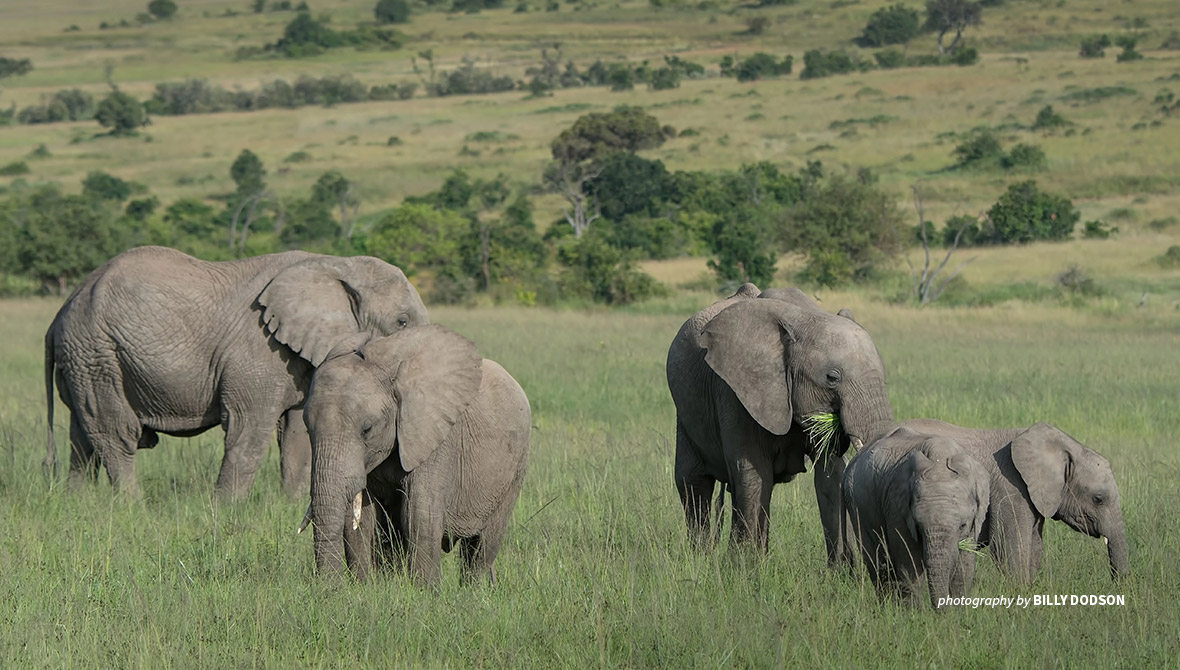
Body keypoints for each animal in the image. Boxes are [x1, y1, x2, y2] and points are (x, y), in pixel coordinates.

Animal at [43, 242, 429, 500]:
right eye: (402, 322)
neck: (337, 265)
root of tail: (60, 313)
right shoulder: (259, 348)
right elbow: (248, 428)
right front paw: (227, 509)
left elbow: (296, 434)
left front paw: (288, 504)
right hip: (97, 351)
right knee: (114, 432)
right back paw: (132, 505)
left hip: (84, 360)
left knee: (82, 436)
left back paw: (76, 502)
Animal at [304, 320, 531, 582]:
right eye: (307, 428)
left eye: (367, 429)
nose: (328, 587)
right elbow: (361, 521)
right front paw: (364, 587)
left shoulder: (435, 437)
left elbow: (418, 515)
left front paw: (424, 591)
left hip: (515, 469)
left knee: (482, 545)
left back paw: (476, 589)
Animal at [665, 283, 892, 559]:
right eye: (832, 378)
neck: (804, 318)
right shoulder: (734, 392)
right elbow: (752, 473)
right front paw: (744, 566)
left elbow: (830, 474)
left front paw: (841, 568)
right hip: (686, 413)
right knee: (694, 483)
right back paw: (702, 558)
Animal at [844, 427, 991, 608]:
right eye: (918, 527)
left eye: (962, 525)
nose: (943, 612)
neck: (939, 459)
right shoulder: (896, 505)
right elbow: (909, 563)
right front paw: (914, 613)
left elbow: (964, 568)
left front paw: (959, 612)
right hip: (856, 504)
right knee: (878, 562)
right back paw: (886, 608)